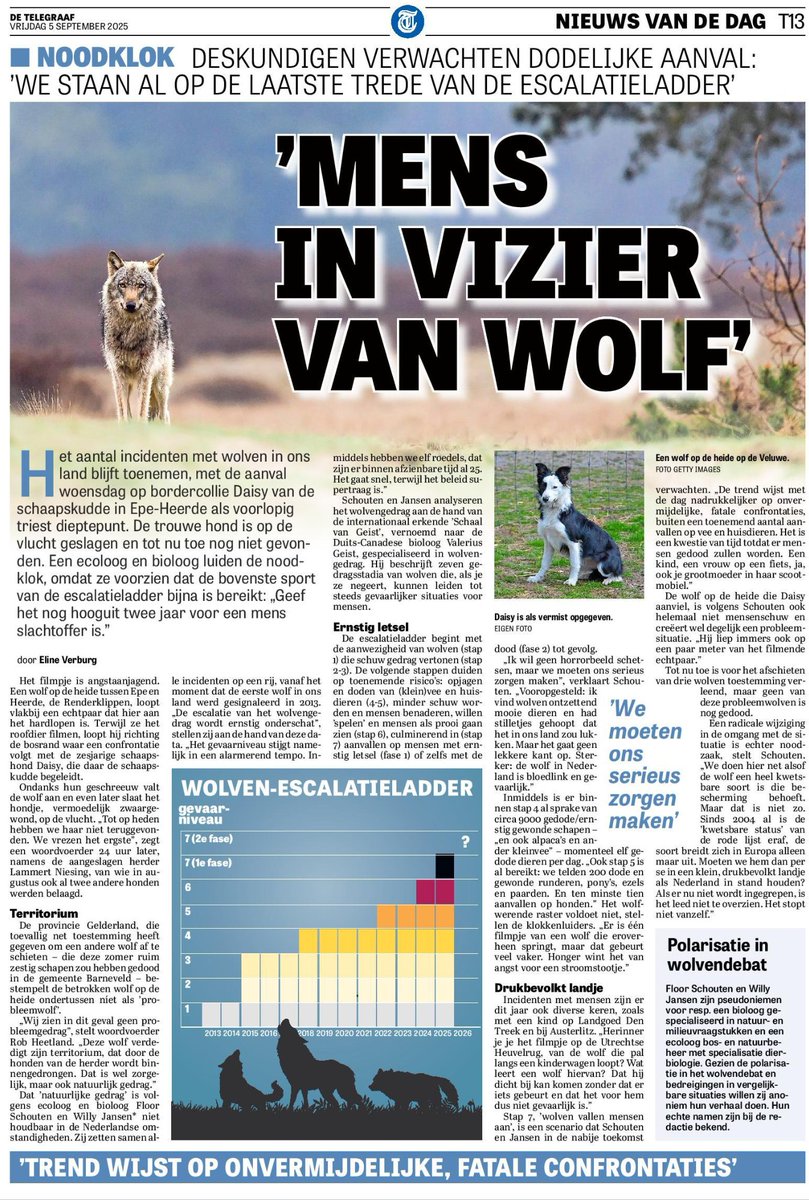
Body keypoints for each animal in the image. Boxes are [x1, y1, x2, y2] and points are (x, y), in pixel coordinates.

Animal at [102, 250, 173, 422]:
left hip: (160, 386)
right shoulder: (119, 373)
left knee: (164, 414)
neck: (130, 333)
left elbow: (142, 409)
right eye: (122, 284)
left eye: (141, 285)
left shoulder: (145, 373)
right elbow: (123, 411)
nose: (130, 305)